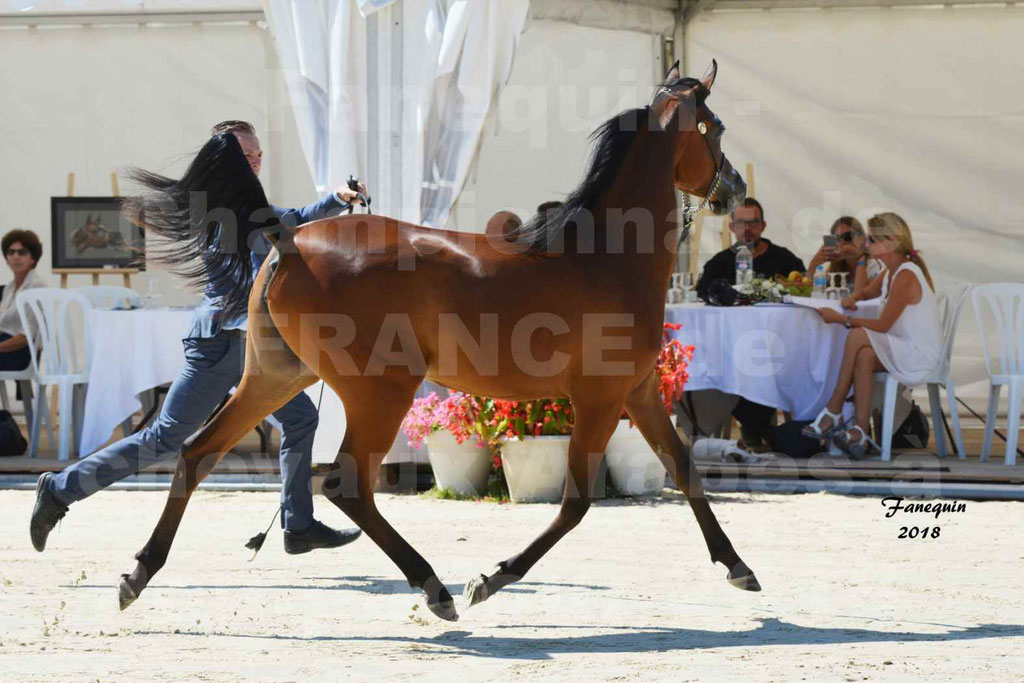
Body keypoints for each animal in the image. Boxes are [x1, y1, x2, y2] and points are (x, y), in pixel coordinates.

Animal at [119, 61, 761, 622]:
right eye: (717, 126)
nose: (734, 188)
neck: (603, 257)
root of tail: (290, 240)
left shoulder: (639, 390)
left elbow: (684, 469)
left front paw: (738, 567)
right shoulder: (600, 397)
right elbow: (577, 502)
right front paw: (490, 578)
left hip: (277, 375)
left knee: (197, 453)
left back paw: (137, 573)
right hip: (380, 391)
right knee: (347, 484)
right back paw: (434, 588)